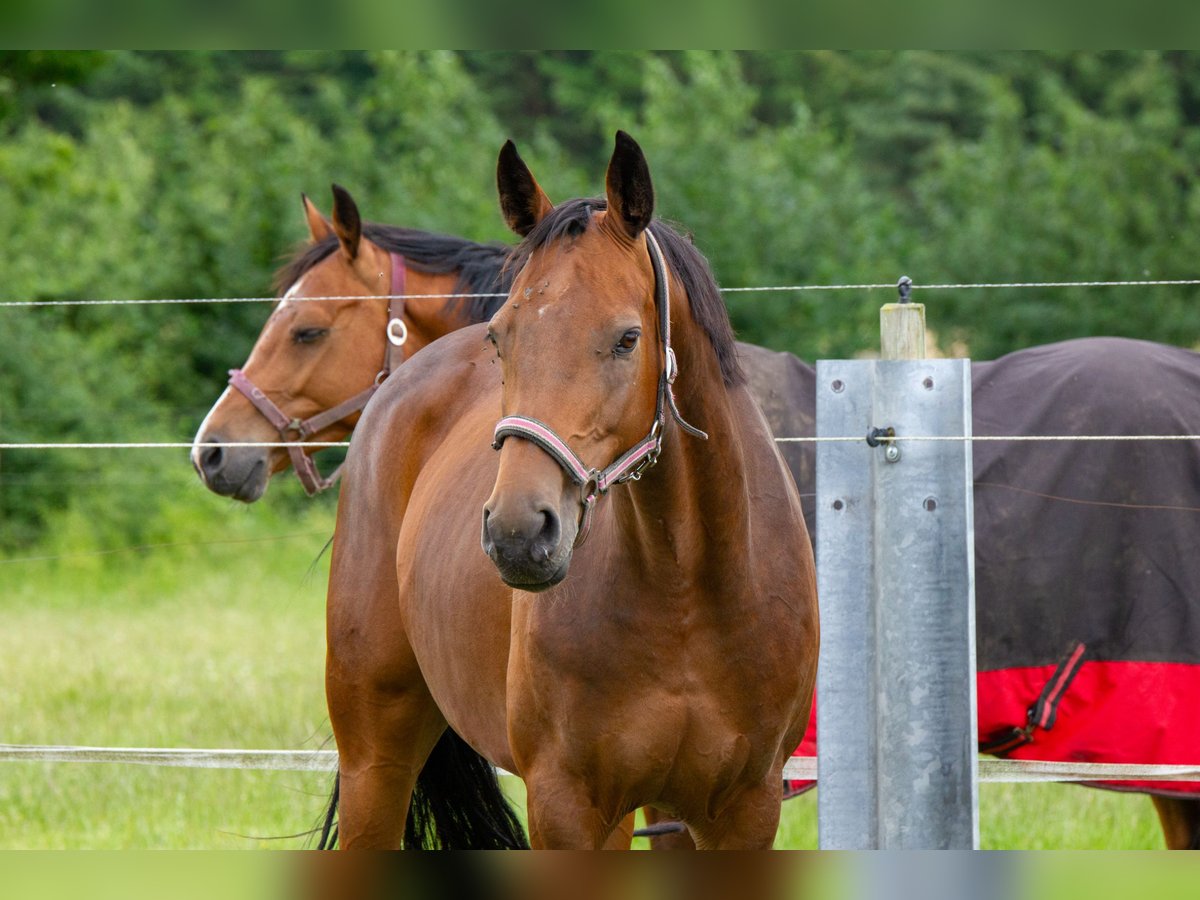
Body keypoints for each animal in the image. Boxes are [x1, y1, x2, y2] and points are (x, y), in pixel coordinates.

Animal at [324, 130, 820, 849]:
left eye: (627, 338)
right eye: (501, 336)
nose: (517, 533)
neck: (689, 589)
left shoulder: (745, 809)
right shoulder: (570, 805)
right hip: (374, 754)